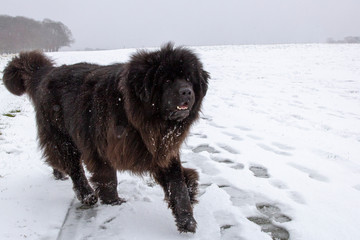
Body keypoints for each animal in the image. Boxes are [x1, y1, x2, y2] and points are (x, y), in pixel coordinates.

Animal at [2, 43, 210, 232]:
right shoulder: (100, 146)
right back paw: (87, 195)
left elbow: (178, 185)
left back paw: (59, 174)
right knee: (73, 166)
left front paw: (186, 218)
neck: (135, 114)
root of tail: (47, 73)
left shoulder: (162, 149)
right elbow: (109, 178)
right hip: (61, 136)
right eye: (166, 81)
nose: (186, 91)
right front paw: (114, 202)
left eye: (188, 79)